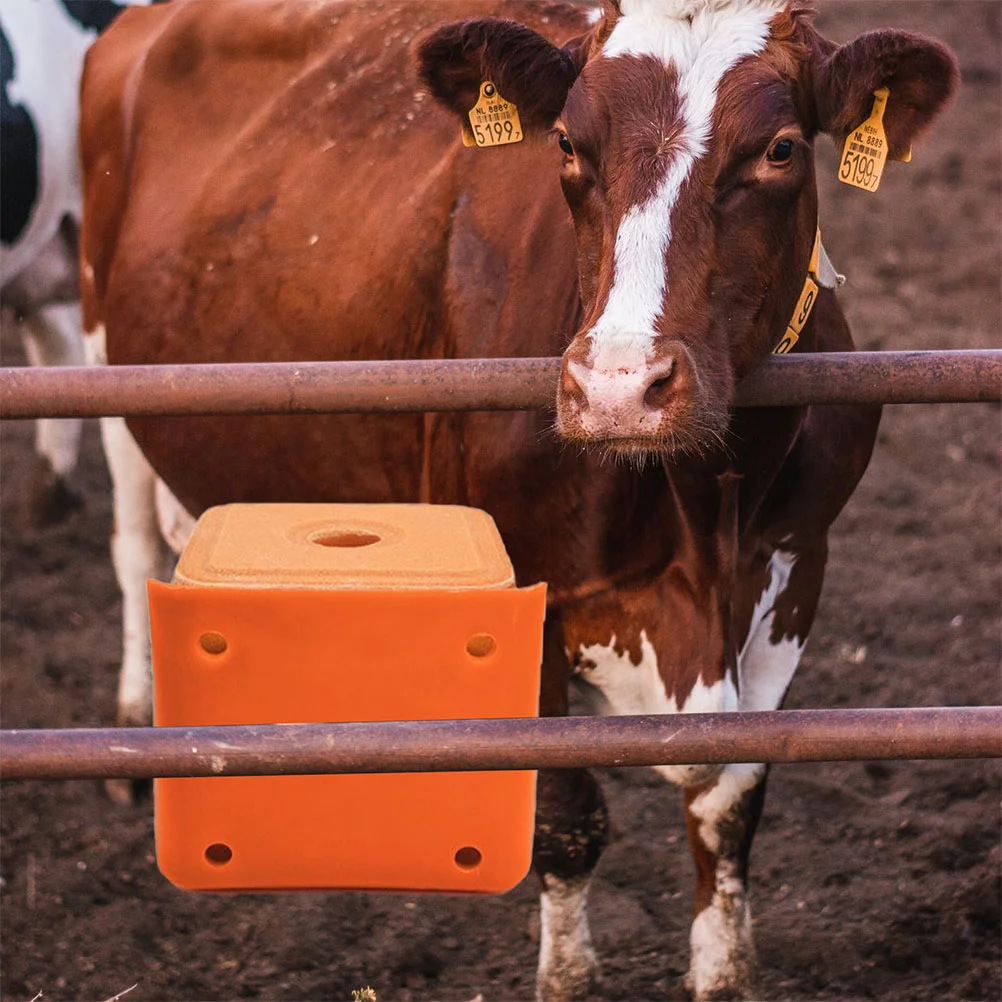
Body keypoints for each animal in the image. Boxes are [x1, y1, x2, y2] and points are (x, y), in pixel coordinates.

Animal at [80, 3, 953, 997]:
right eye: (569, 143)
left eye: (778, 149)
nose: (618, 388)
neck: (702, 518)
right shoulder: (532, 593)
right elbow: (566, 815)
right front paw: (565, 972)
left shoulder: (796, 564)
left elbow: (731, 801)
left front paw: (723, 967)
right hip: (113, 369)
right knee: (134, 548)